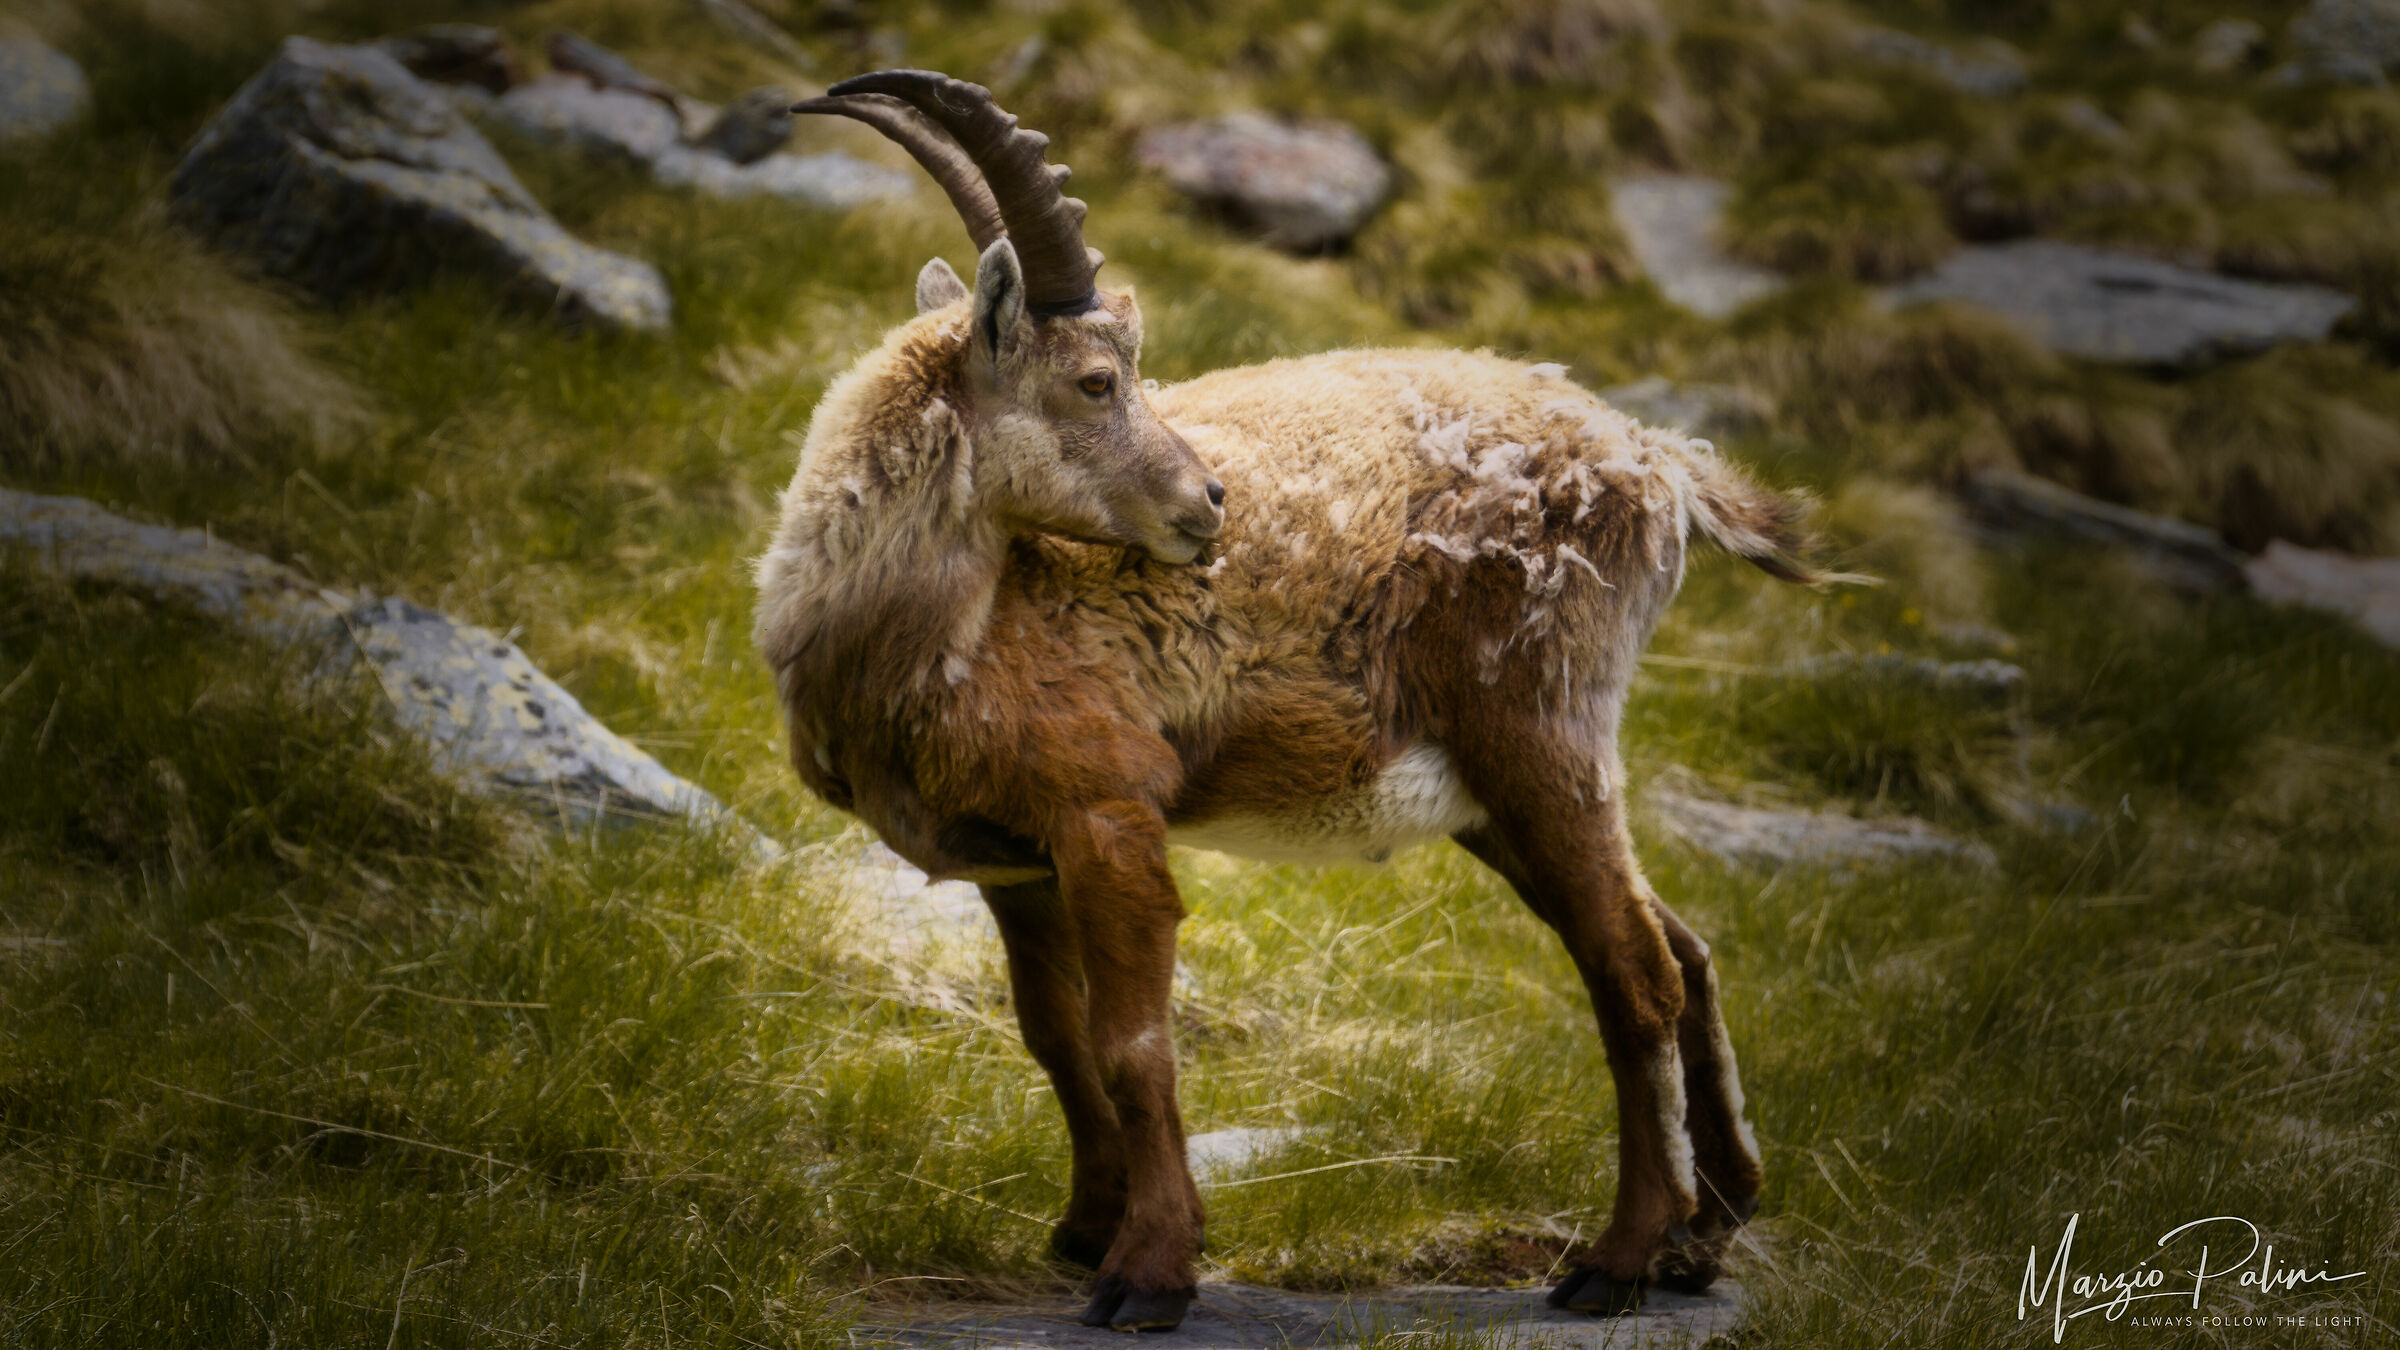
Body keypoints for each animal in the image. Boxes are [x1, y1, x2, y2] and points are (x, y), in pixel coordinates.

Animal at [756, 71, 1817, 1332]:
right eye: (1096, 380)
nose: (1208, 499)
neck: (950, 631)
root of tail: (1657, 462)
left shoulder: (1110, 810)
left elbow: (1134, 1044)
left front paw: (1149, 1272)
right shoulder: (1017, 862)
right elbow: (1053, 1037)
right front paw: (1085, 1227)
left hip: (1542, 728)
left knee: (1637, 975)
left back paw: (1617, 1260)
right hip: (1498, 796)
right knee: (1684, 951)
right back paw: (1706, 1233)